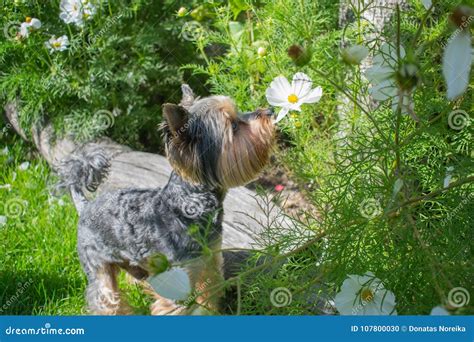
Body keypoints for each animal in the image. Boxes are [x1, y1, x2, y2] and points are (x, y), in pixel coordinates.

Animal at [59, 85, 274, 316]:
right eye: (233, 126)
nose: (270, 111)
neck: (189, 204)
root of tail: (86, 205)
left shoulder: (209, 262)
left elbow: (208, 298)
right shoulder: (177, 280)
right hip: (97, 265)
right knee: (105, 296)